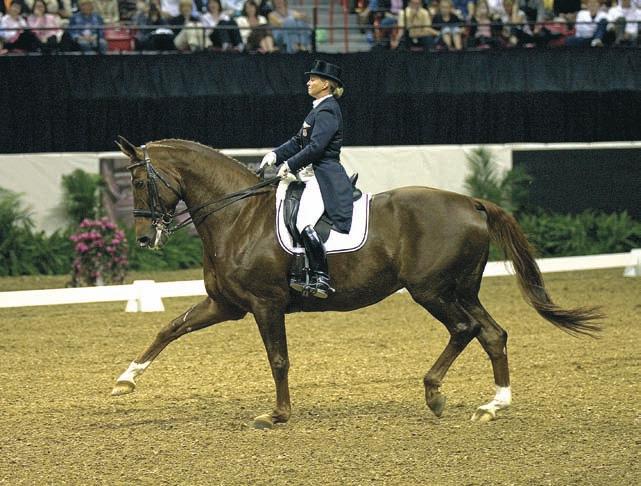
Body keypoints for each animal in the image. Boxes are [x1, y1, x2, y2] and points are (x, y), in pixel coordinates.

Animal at [111, 138, 600, 430]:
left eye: (138, 180)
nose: (144, 238)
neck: (237, 215)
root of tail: (472, 202)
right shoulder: (226, 304)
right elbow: (169, 328)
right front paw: (124, 381)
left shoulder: (265, 304)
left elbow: (278, 359)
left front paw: (278, 414)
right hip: (460, 289)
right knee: (493, 334)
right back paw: (494, 404)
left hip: (431, 290)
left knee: (466, 329)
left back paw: (434, 394)